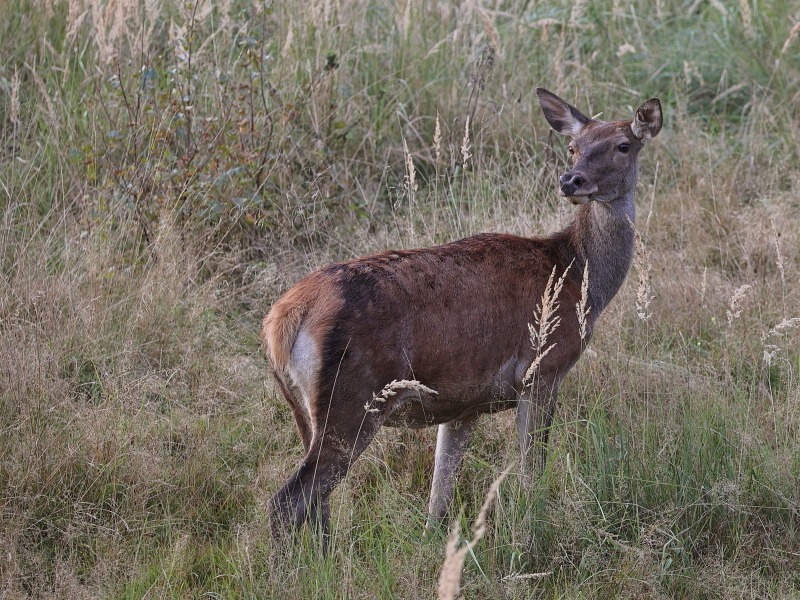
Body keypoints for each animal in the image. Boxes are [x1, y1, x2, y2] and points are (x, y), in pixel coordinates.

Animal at [262, 86, 664, 548]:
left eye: (622, 145)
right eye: (573, 146)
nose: (571, 180)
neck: (579, 276)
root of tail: (284, 318)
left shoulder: (464, 403)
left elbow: (440, 496)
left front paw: (436, 542)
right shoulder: (542, 370)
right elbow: (531, 471)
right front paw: (530, 529)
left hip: (303, 407)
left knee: (316, 503)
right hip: (353, 395)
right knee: (289, 500)